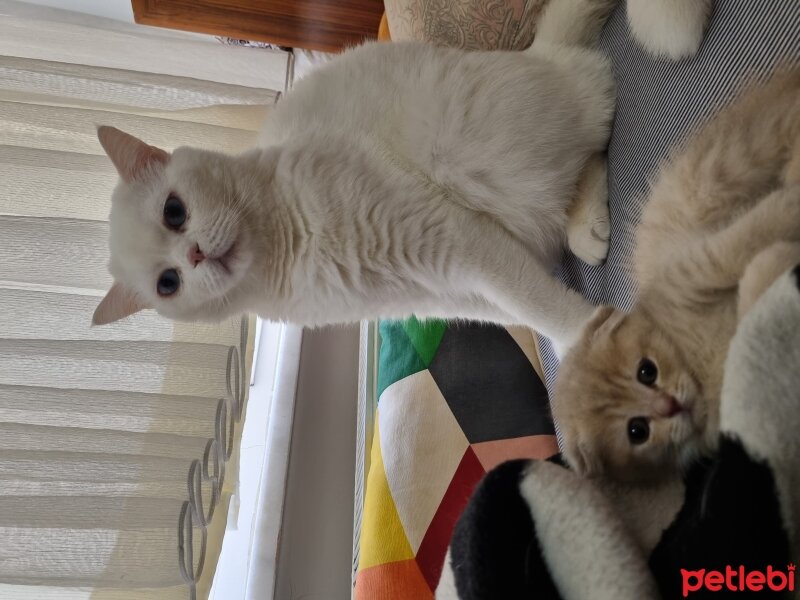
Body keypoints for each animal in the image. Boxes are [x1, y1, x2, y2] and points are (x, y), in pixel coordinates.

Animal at [90, 0, 708, 354]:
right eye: (168, 283)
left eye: (175, 211)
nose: (194, 255)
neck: (289, 259)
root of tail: (536, 53)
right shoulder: (456, 290)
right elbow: (539, 314)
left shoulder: (454, 240)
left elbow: (552, 311)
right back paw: (589, 230)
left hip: (491, 144)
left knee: (598, 103)